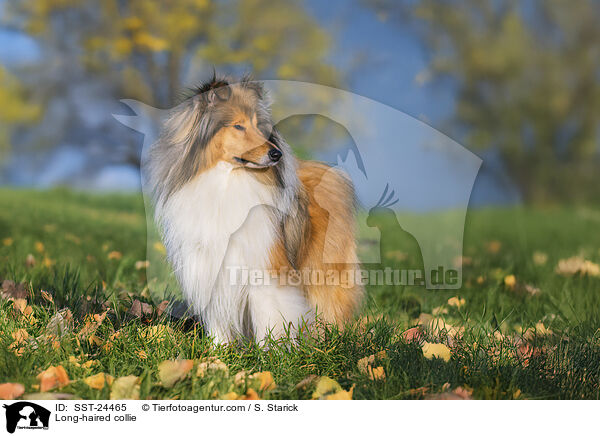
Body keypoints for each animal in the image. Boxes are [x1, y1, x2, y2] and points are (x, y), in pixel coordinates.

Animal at [148, 76, 364, 344]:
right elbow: (218, 319)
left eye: (258, 126)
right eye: (238, 126)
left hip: (324, 268)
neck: (228, 180)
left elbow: (270, 315)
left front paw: (271, 352)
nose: (276, 154)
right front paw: (218, 351)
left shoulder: (265, 265)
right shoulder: (210, 268)